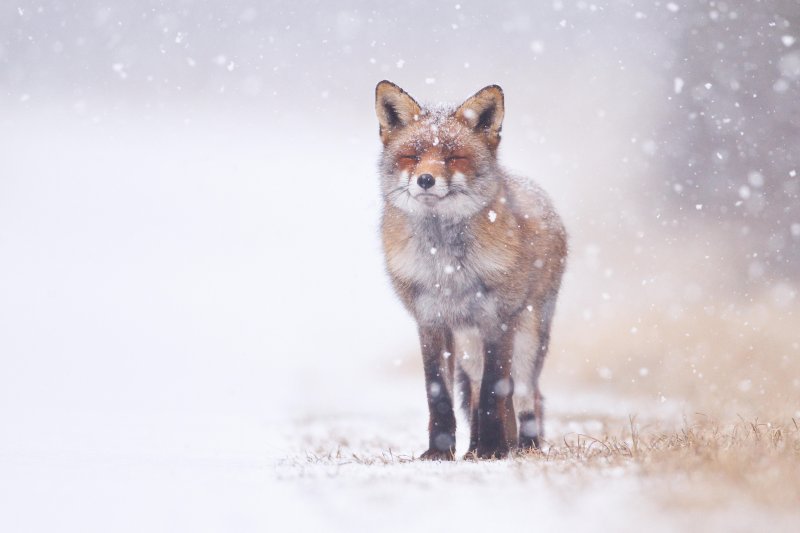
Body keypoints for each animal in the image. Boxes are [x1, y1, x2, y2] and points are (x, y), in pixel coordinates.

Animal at [376, 80, 568, 458]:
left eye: (454, 158)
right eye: (413, 156)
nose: (425, 179)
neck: (446, 267)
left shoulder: (498, 319)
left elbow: (496, 391)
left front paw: (494, 450)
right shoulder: (431, 321)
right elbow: (439, 394)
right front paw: (439, 453)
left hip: (528, 336)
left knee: (526, 394)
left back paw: (523, 446)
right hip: (468, 344)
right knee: (477, 389)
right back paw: (474, 448)